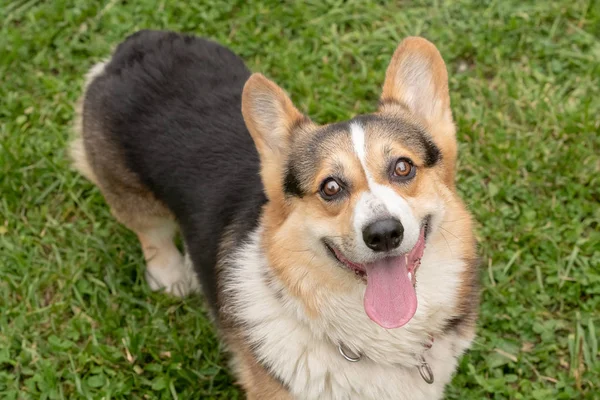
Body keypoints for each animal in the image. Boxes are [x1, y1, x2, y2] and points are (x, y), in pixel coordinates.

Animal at [70, 29, 480, 398]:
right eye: (330, 187)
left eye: (403, 168)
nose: (383, 234)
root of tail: (129, 49)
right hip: (130, 195)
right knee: (151, 234)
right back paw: (170, 275)